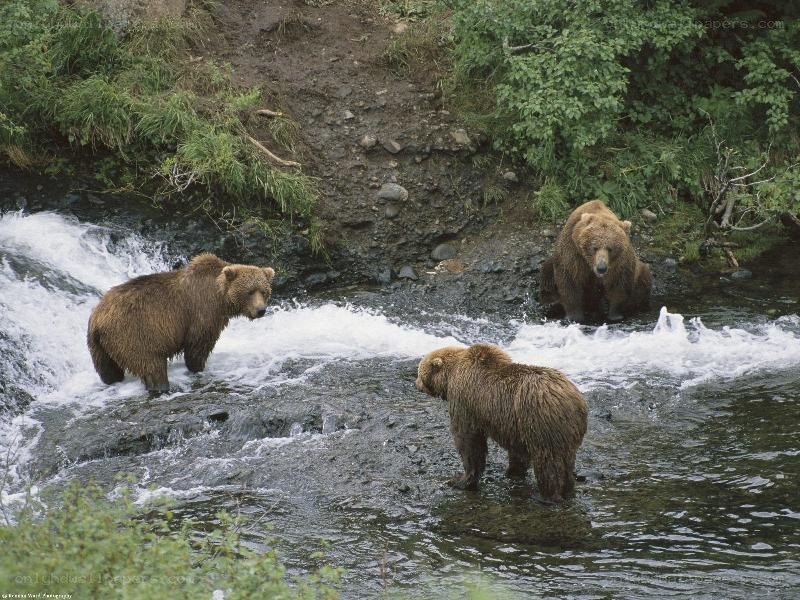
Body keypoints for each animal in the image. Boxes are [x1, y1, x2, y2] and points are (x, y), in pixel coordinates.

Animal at [87, 253, 275, 393]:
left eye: (264, 291)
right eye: (249, 292)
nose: (261, 310)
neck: (220, 297)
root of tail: (98, 318)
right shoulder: (202, 311)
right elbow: (198, 345)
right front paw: (198, 368)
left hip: (99, 346)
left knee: (108, 370)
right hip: (133, 332)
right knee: (151, 364)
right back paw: (161, 387)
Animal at [416, 343, 588, 503]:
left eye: (419, 372)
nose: (416, 384)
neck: (451, 376)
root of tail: (572, 399)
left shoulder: (464, 401)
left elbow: (468, 440)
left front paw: (461, 480)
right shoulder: (514, 425)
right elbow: (517, 450)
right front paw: (513, 471)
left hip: (539, 420)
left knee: (548, 461)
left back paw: (547, 496)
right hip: (566, 430)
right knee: (567, 460)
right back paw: (568, 491)